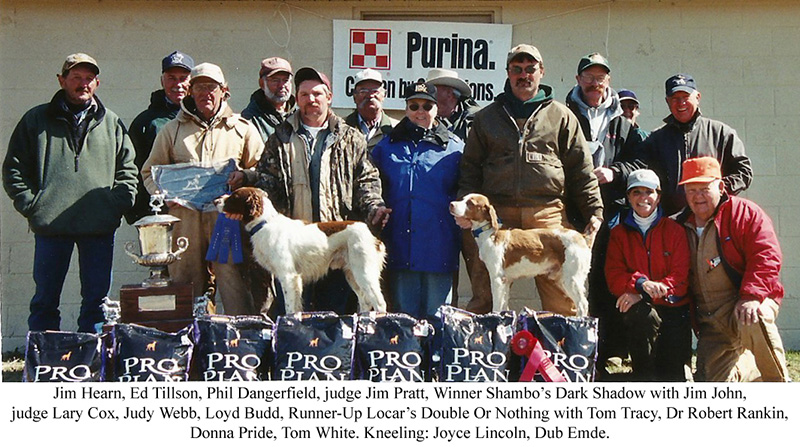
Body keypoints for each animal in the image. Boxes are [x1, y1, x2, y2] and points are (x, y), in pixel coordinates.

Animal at [220, 187, 387, 314]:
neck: (265, 223)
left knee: (379, 303)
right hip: (352, 273)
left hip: (363, 271)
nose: (216, 200)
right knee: (365, 302)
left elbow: (289, 307)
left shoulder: (288, 276)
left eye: (234, 196)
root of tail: (372, 234)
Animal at [449, 193, 600, 316]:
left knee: (583, 304)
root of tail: (582, 237)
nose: (451, 204)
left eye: (470, 203)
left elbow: (496, 306)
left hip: (571, 279)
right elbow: (503, 305)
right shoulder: (506, 281)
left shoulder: (497, 278)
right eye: (463, 199)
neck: (491, 233)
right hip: (563, 279)